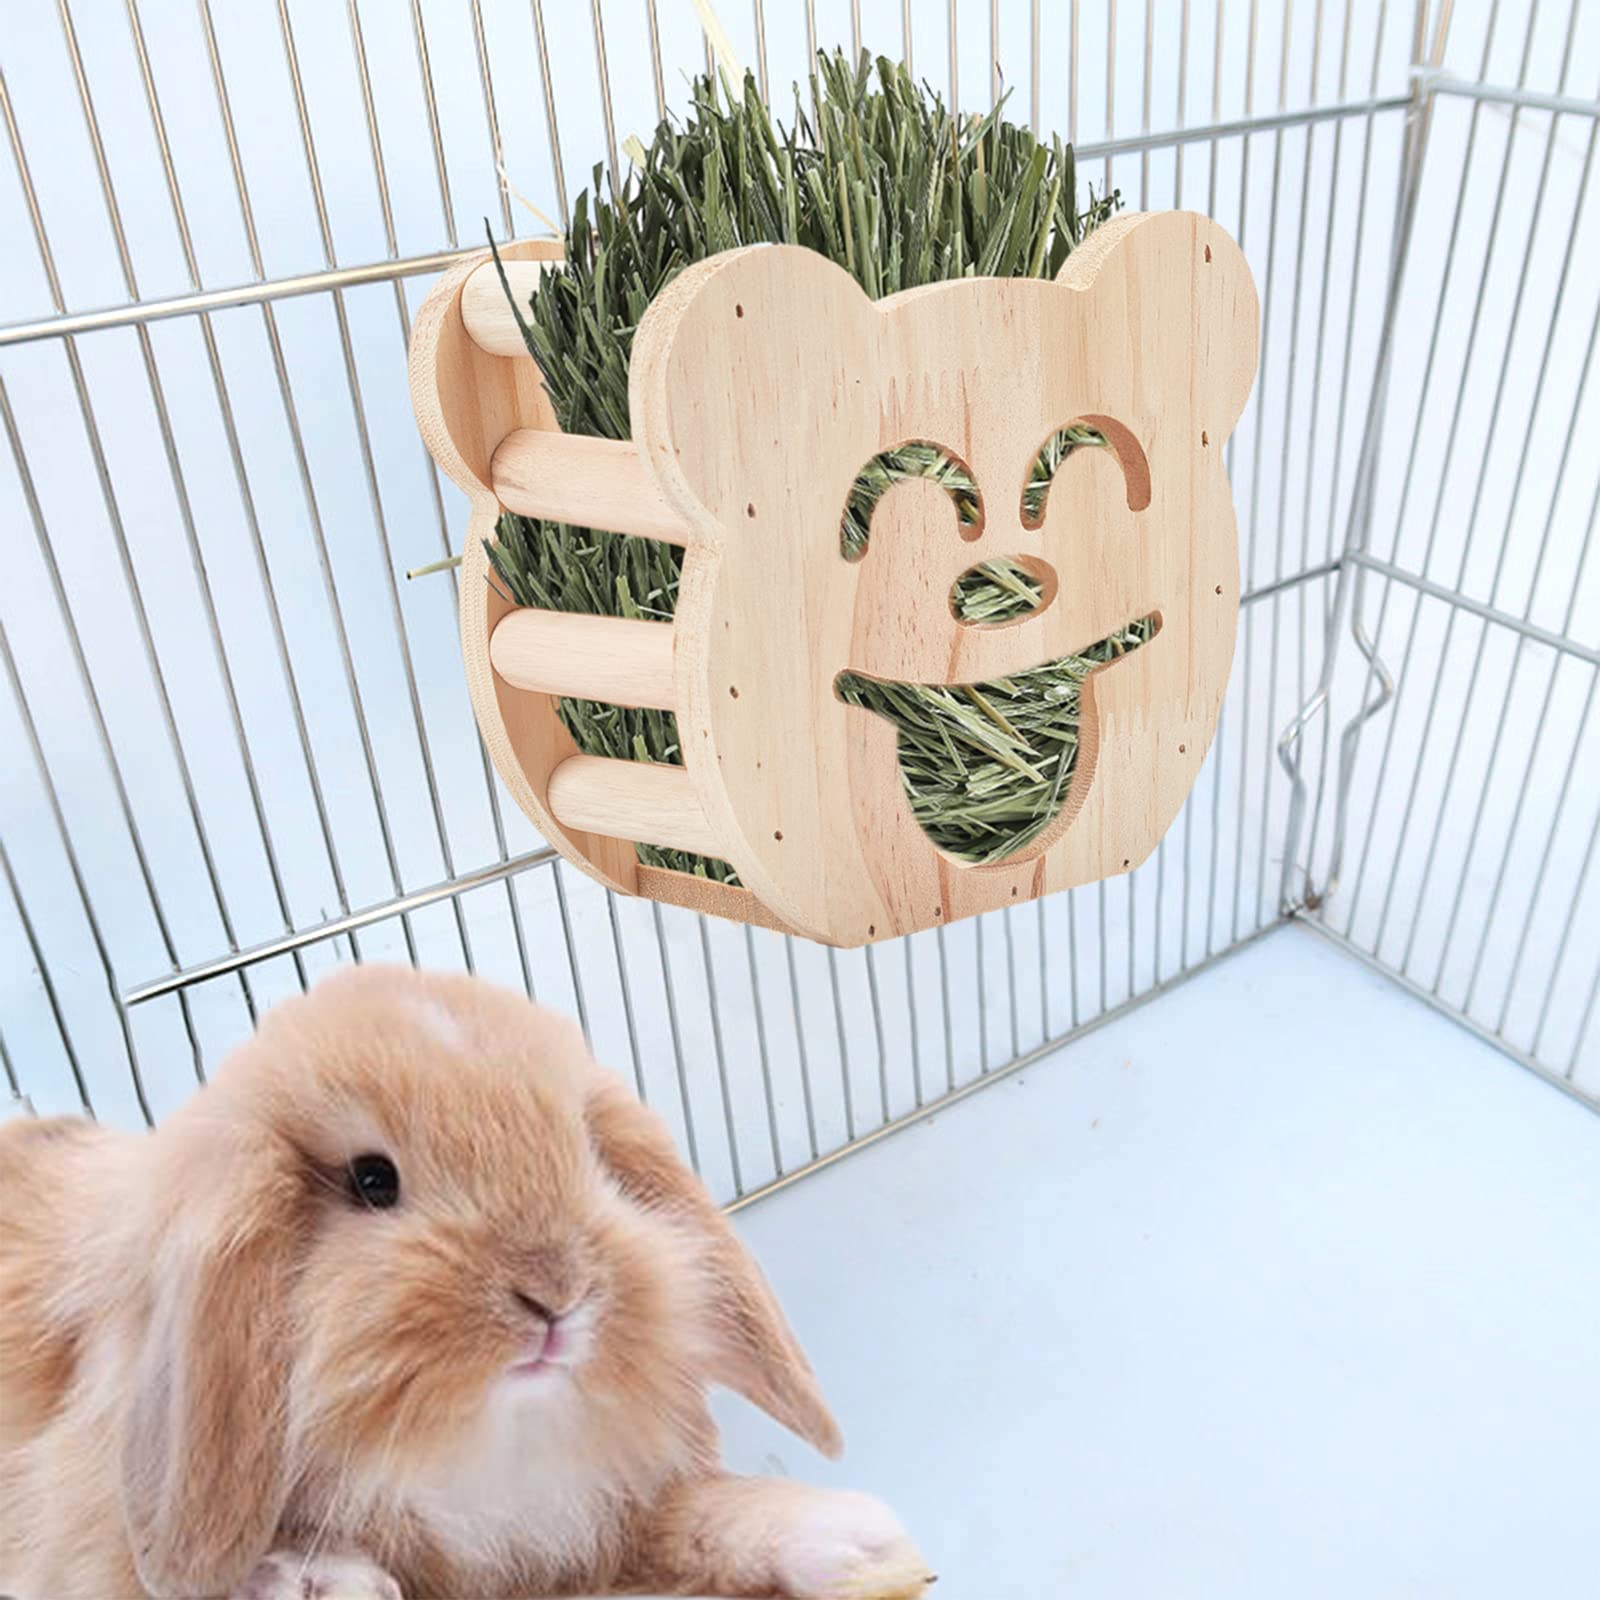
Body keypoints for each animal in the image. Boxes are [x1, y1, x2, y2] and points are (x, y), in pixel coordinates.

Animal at [0, 965, 933, 1600]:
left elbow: (696, 1516)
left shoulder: (594, 1519)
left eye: (590, 1155)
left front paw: (860, 1543)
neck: (478, 1448)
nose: (557, 1294)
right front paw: (319, 1582)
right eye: (372, 1180)